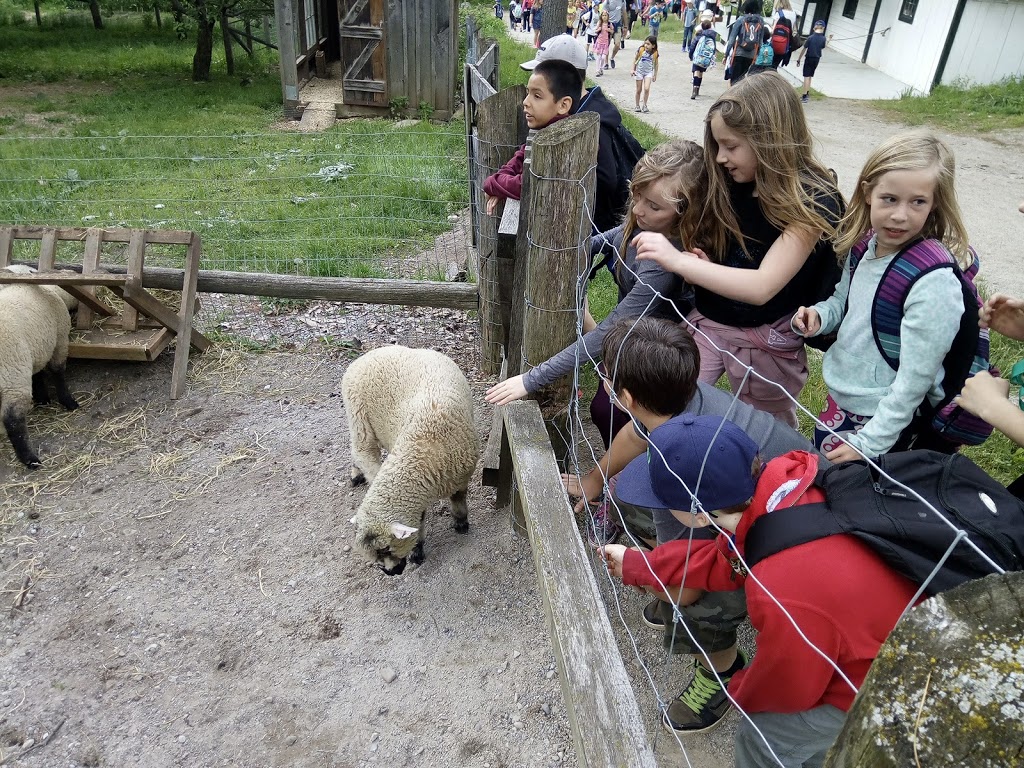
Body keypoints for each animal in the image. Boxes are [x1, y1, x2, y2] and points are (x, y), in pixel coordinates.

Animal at [1, 264, 79, 468]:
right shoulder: (59, 340)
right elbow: (58, 372)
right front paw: (67, 401)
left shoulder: (35, 348)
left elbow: (37, 374)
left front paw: (43, 398)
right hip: (12, 376)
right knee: (13, 420)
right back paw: (30, 459)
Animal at [337, 346, 477, 573]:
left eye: (386, 549)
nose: (389, 572)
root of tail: (367, 354)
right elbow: (418, 521)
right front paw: (417, 552)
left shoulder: (461, 477)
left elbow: (458, 501)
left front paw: (461, 524)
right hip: (358, 415)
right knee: (361, 450)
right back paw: (357, 474)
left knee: (360, 449)